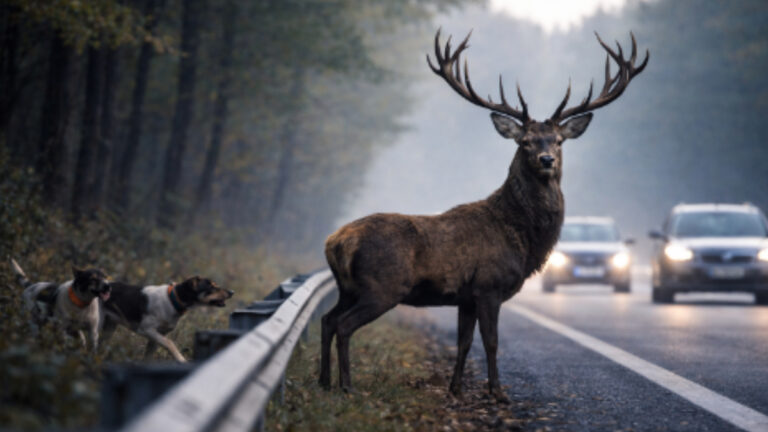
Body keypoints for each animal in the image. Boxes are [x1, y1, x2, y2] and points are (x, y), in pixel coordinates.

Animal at [320, 29, 648, 402]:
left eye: (559, 140)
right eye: (525, 141)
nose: (547, 160)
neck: (523, 239)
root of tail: (335, 242)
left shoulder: (466, 296)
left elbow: (464, 343)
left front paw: (456, 389)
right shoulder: (489, 285)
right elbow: (491, 342)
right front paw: (497, 392)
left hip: (347, 287)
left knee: (327, 320)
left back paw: (324, 381)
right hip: (382, 286)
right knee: (343, 325)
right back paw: (346, 385)